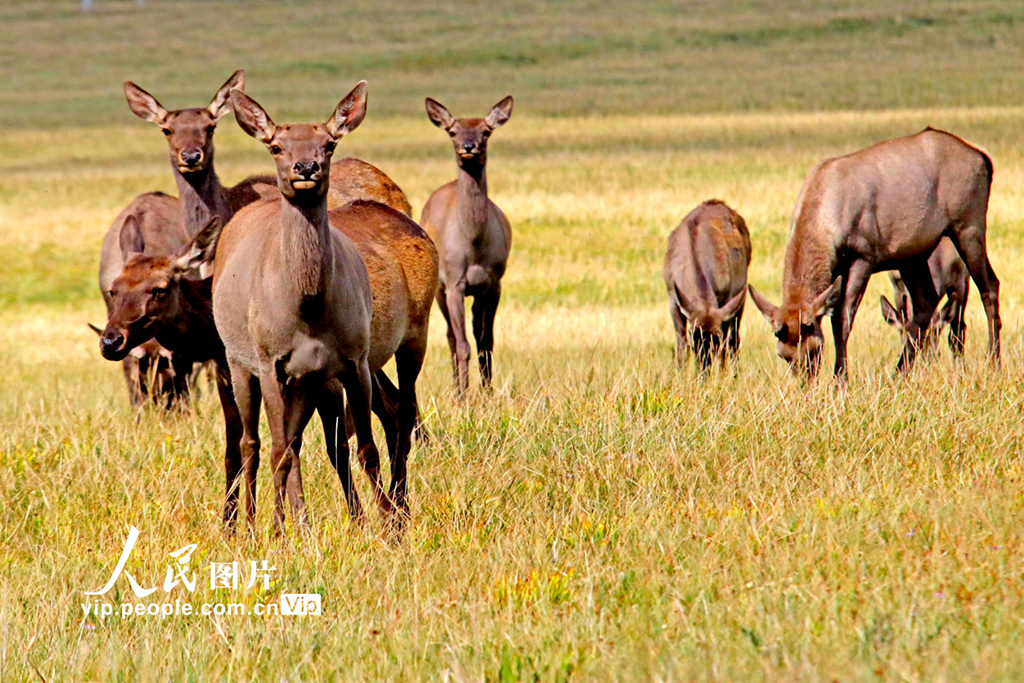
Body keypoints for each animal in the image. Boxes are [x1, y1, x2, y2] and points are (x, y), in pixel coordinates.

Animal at [205, 83, 434, 532]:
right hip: (239, 362)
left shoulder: (354, 359)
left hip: (415, 333)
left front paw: (384, 526)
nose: (306, 166)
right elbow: (282, 450)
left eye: (329, 143)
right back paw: (251, 524)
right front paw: (281, 531)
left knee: (402, 413)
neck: (307, 308)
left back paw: (399, 506)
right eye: (276, 145)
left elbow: (363, 448)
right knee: (252, 442)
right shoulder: (273, 363)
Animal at [419, 96, 512, 395]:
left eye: (486, 131)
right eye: (453, 131)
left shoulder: (493, 282)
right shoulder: (453, 283)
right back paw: (458, 390)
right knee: (450, 337)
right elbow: (462, 345)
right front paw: (464, 397)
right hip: (438, 288)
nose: (468, 147)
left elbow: (486, 342)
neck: (473, 245)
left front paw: (488, 393)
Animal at [663, 201, 753, 374]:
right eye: (694, 341)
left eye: (715, 342)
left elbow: (725, 344)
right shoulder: (672, 299)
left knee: (734, 339)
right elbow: (681, 343)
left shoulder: (726, 297)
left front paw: (723, 375)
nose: (704, 373)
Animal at [749, 129, 995, 382]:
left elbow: (841, 320)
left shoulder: (863, 255)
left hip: (969, 225)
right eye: (783, 355)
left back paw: (994, 363)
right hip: (912, 254)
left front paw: (840, 380)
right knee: (926, 301)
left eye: (816, 348)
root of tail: (984, 160)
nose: (806, 385)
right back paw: (898, 374)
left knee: (989, 286)